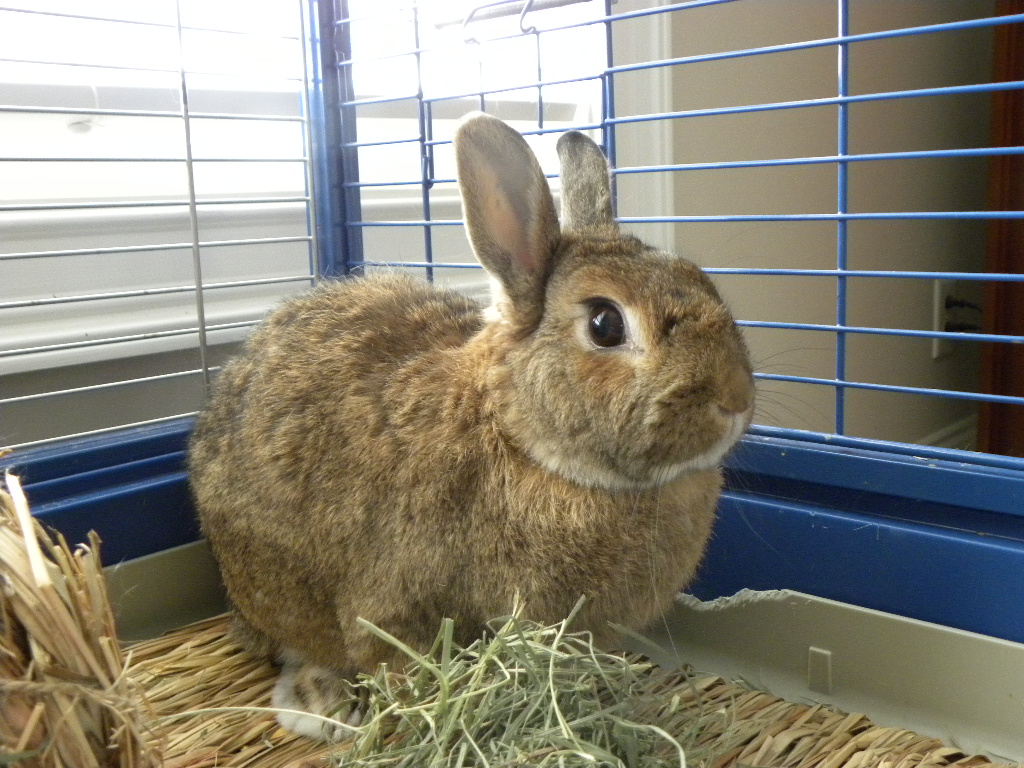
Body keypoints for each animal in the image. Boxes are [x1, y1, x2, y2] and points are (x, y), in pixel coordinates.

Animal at [188, 112, 755, 741]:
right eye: (605, 324)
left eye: (699, 277)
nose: (735, 398)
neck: (523, 442)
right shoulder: (393, 609)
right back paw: (323, 705)